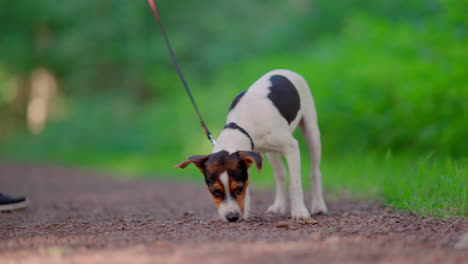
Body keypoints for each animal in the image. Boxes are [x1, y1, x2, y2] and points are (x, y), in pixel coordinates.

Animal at [177, 69, 328, 222]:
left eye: (238, 188)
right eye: (215, 191)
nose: (232, 217)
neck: (242, 124)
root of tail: (284, 70)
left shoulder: (291, 147)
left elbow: (295, 184)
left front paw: (299, 211)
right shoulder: (250, 155)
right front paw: (246, 213)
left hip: (311, 130)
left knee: (315, 172)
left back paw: (318, 205)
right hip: (270, 153)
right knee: (280, 174)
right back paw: (278, 206)